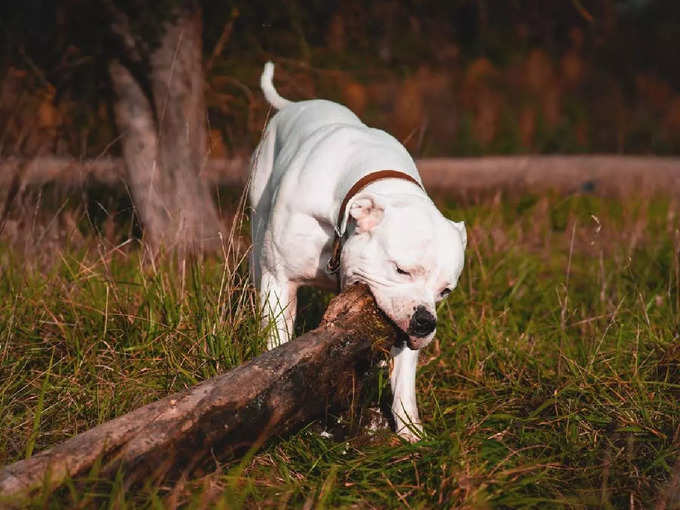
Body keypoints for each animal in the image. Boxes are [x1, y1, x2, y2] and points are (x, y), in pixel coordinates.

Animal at [250, 60, 468, 442]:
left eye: (445, 292)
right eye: (401, 270)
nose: (425, 321)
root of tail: (292, 105)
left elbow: (404, 378)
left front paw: (411, 432)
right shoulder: (279, 281)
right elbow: (276, 342)